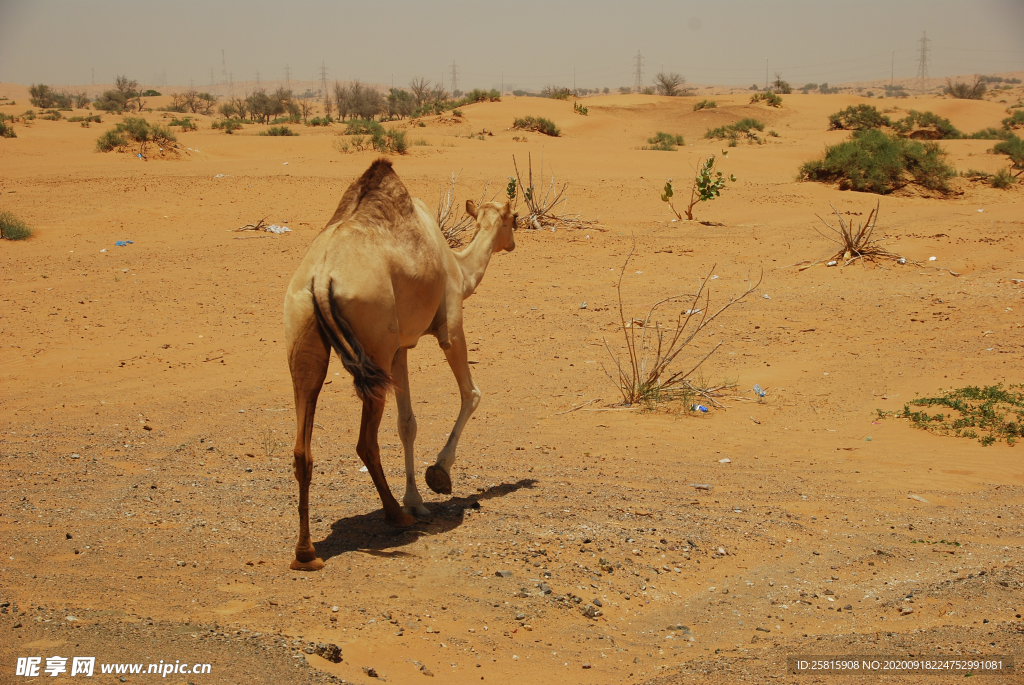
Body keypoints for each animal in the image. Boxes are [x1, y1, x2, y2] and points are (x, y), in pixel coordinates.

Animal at [282, 157, 516, 569]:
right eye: (515, 219)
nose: (515, 241)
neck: (459, 268)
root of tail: (321, 277)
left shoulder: (401, 347)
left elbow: (407, 423)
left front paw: (416, 500)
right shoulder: (448, 325)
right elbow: (471, 394)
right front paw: (437, 476)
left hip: (305, 333)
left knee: (302, 447)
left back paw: (306, 553)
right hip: (374, 343)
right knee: (365, 442)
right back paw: (394, 515)